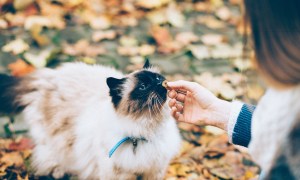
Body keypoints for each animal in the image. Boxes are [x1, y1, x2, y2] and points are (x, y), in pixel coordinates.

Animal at [0, 60, 180, 179]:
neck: (145, 131)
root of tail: (49, 75)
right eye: (143, 87)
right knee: (48, 157)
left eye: (157, 78)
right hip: (57, 143)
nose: (161, 83)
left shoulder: (155, 171)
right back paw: (59, 172)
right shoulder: (118, 174)